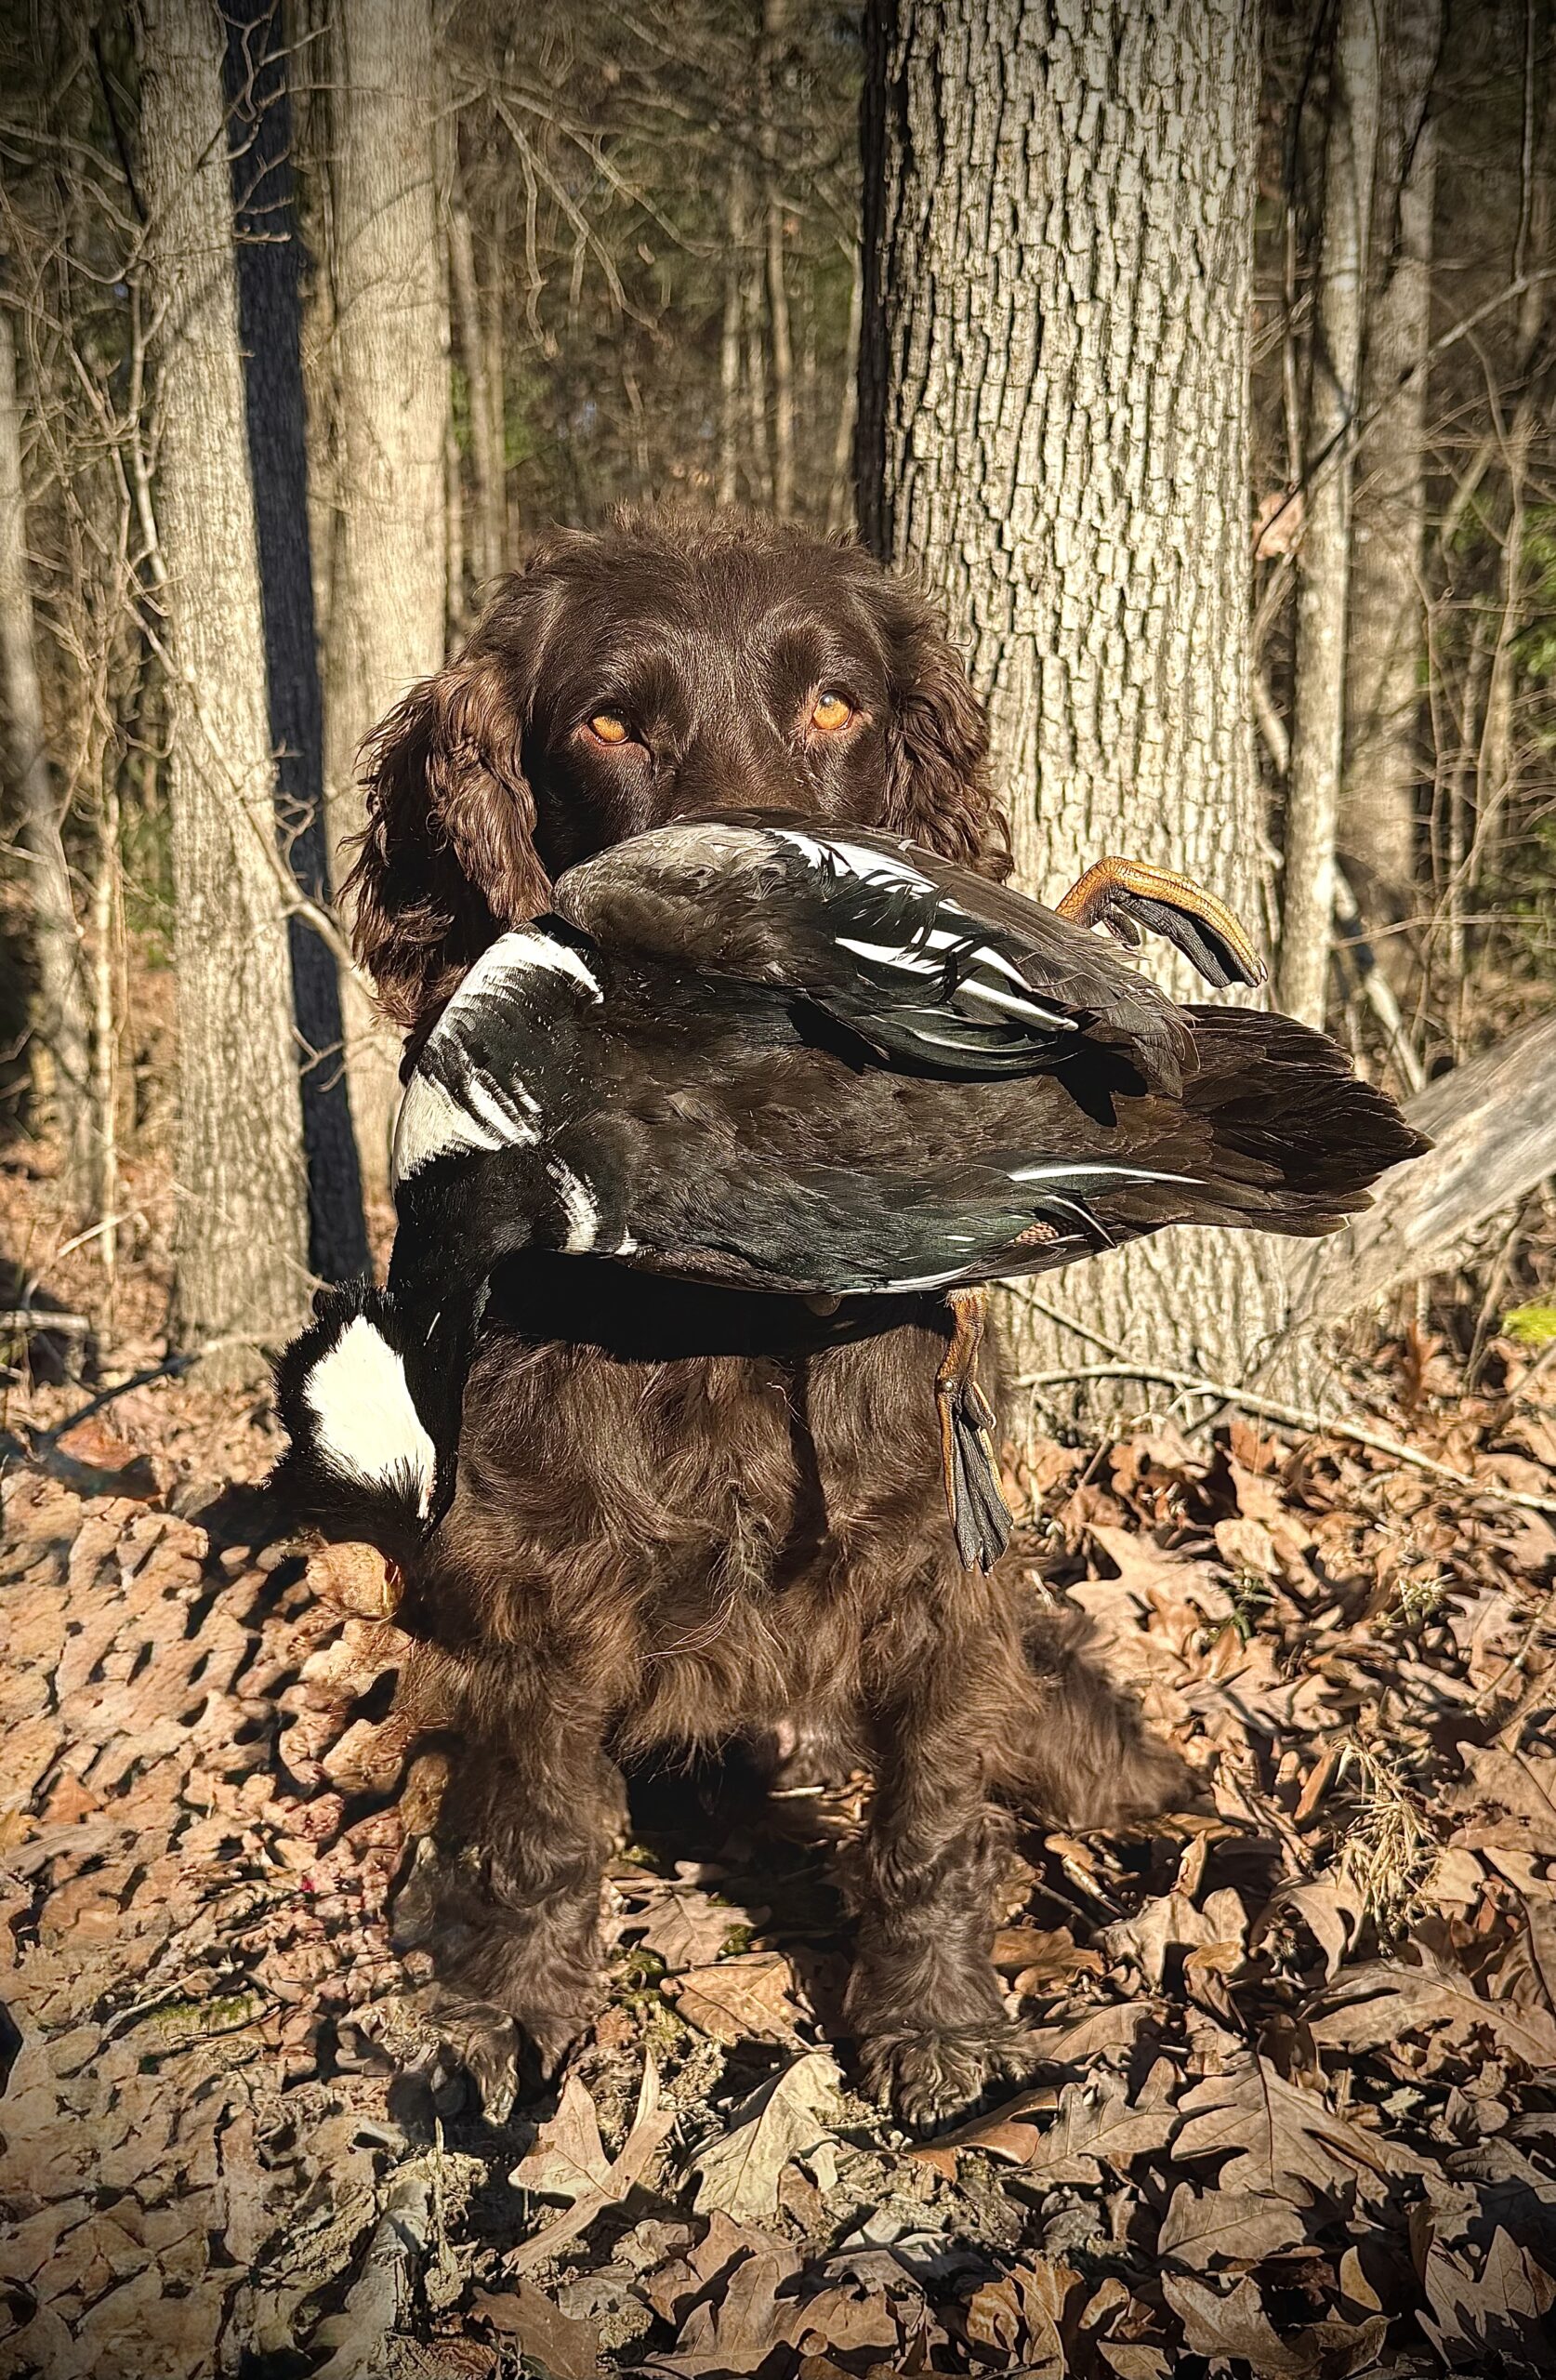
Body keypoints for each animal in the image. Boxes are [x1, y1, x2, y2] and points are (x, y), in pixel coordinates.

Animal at [337, 511, 1188, 2130]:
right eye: (610, 722)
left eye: (836, 705)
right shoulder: (534, 1574)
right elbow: (536, 1821)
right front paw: (505, 2011)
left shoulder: (940, 1571)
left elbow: (932, 1817)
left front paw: (934, 2021)